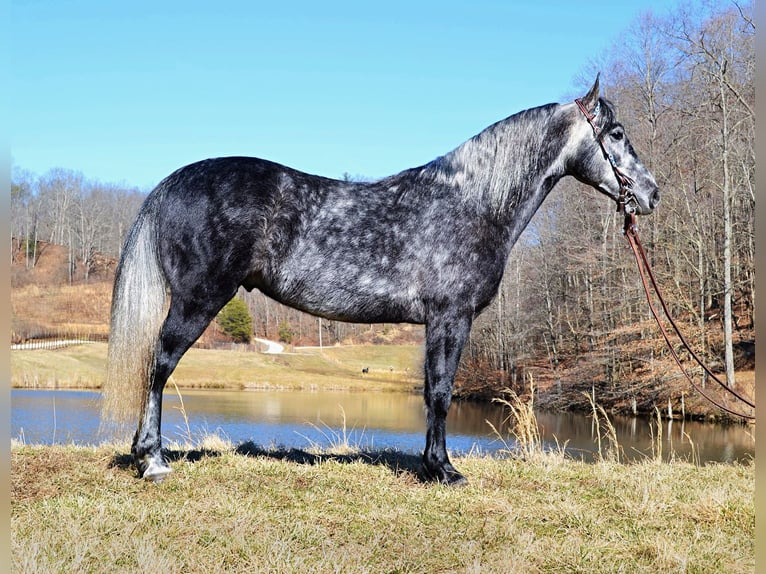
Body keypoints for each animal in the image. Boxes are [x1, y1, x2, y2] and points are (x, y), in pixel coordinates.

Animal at [103, 76, 660, 486]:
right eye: (615, 134)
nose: (651, 193)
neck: (472, 203)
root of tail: (172, 183)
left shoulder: (441, 322)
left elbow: (434, 390)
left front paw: (434, 465)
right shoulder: (450, 317)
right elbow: (441, 391)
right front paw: (444, 470)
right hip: (197, 300)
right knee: (158, 364)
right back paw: (152, 461)